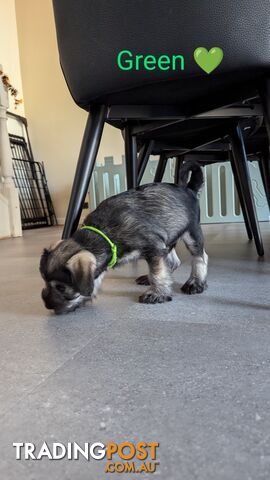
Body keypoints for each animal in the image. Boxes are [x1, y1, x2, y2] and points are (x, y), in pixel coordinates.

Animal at [40, 161, 208, 316]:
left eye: (61, 287)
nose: (47, 305)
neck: (105, 233)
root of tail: (189, 189)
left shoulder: (153, 248)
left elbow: (158, 272)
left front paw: (157, 293)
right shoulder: (157, 247)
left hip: (191, 232)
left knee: (200, 257)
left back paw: (195, 283)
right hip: (169, 236)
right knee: (173, 261)